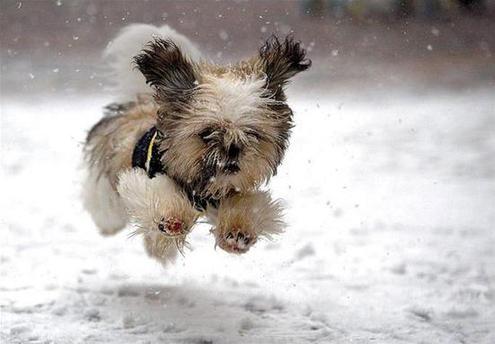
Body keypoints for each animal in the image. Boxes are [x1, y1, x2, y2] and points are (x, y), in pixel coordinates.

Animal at [83, 24, 312, 264]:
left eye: (252, 133)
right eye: (207, 133)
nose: (233, 149)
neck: (202, 188)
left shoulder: (230, 193)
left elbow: (250, 205)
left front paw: (238, 232)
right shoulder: (144, 178)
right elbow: (159, 193)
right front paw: (171, 217)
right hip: (105, 193)